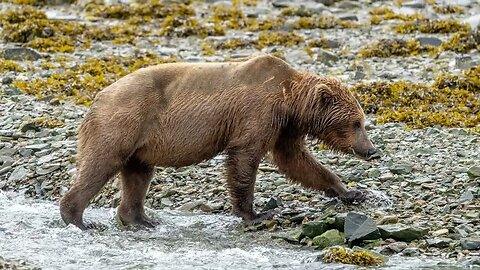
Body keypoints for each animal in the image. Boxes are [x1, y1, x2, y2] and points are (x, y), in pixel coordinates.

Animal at [59, 54, 376, 230]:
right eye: (356, 123)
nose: (371, 150)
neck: (289, 101)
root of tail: (98, 97)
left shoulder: (285, 127)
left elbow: (296, 161)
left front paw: (351, 191)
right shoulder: (257, 112)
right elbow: (245, 157)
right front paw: (256, 213)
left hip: (141, 142)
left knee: (138, 174)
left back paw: (140, 219)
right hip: (123, 121)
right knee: (101, 164)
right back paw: (77, 218)